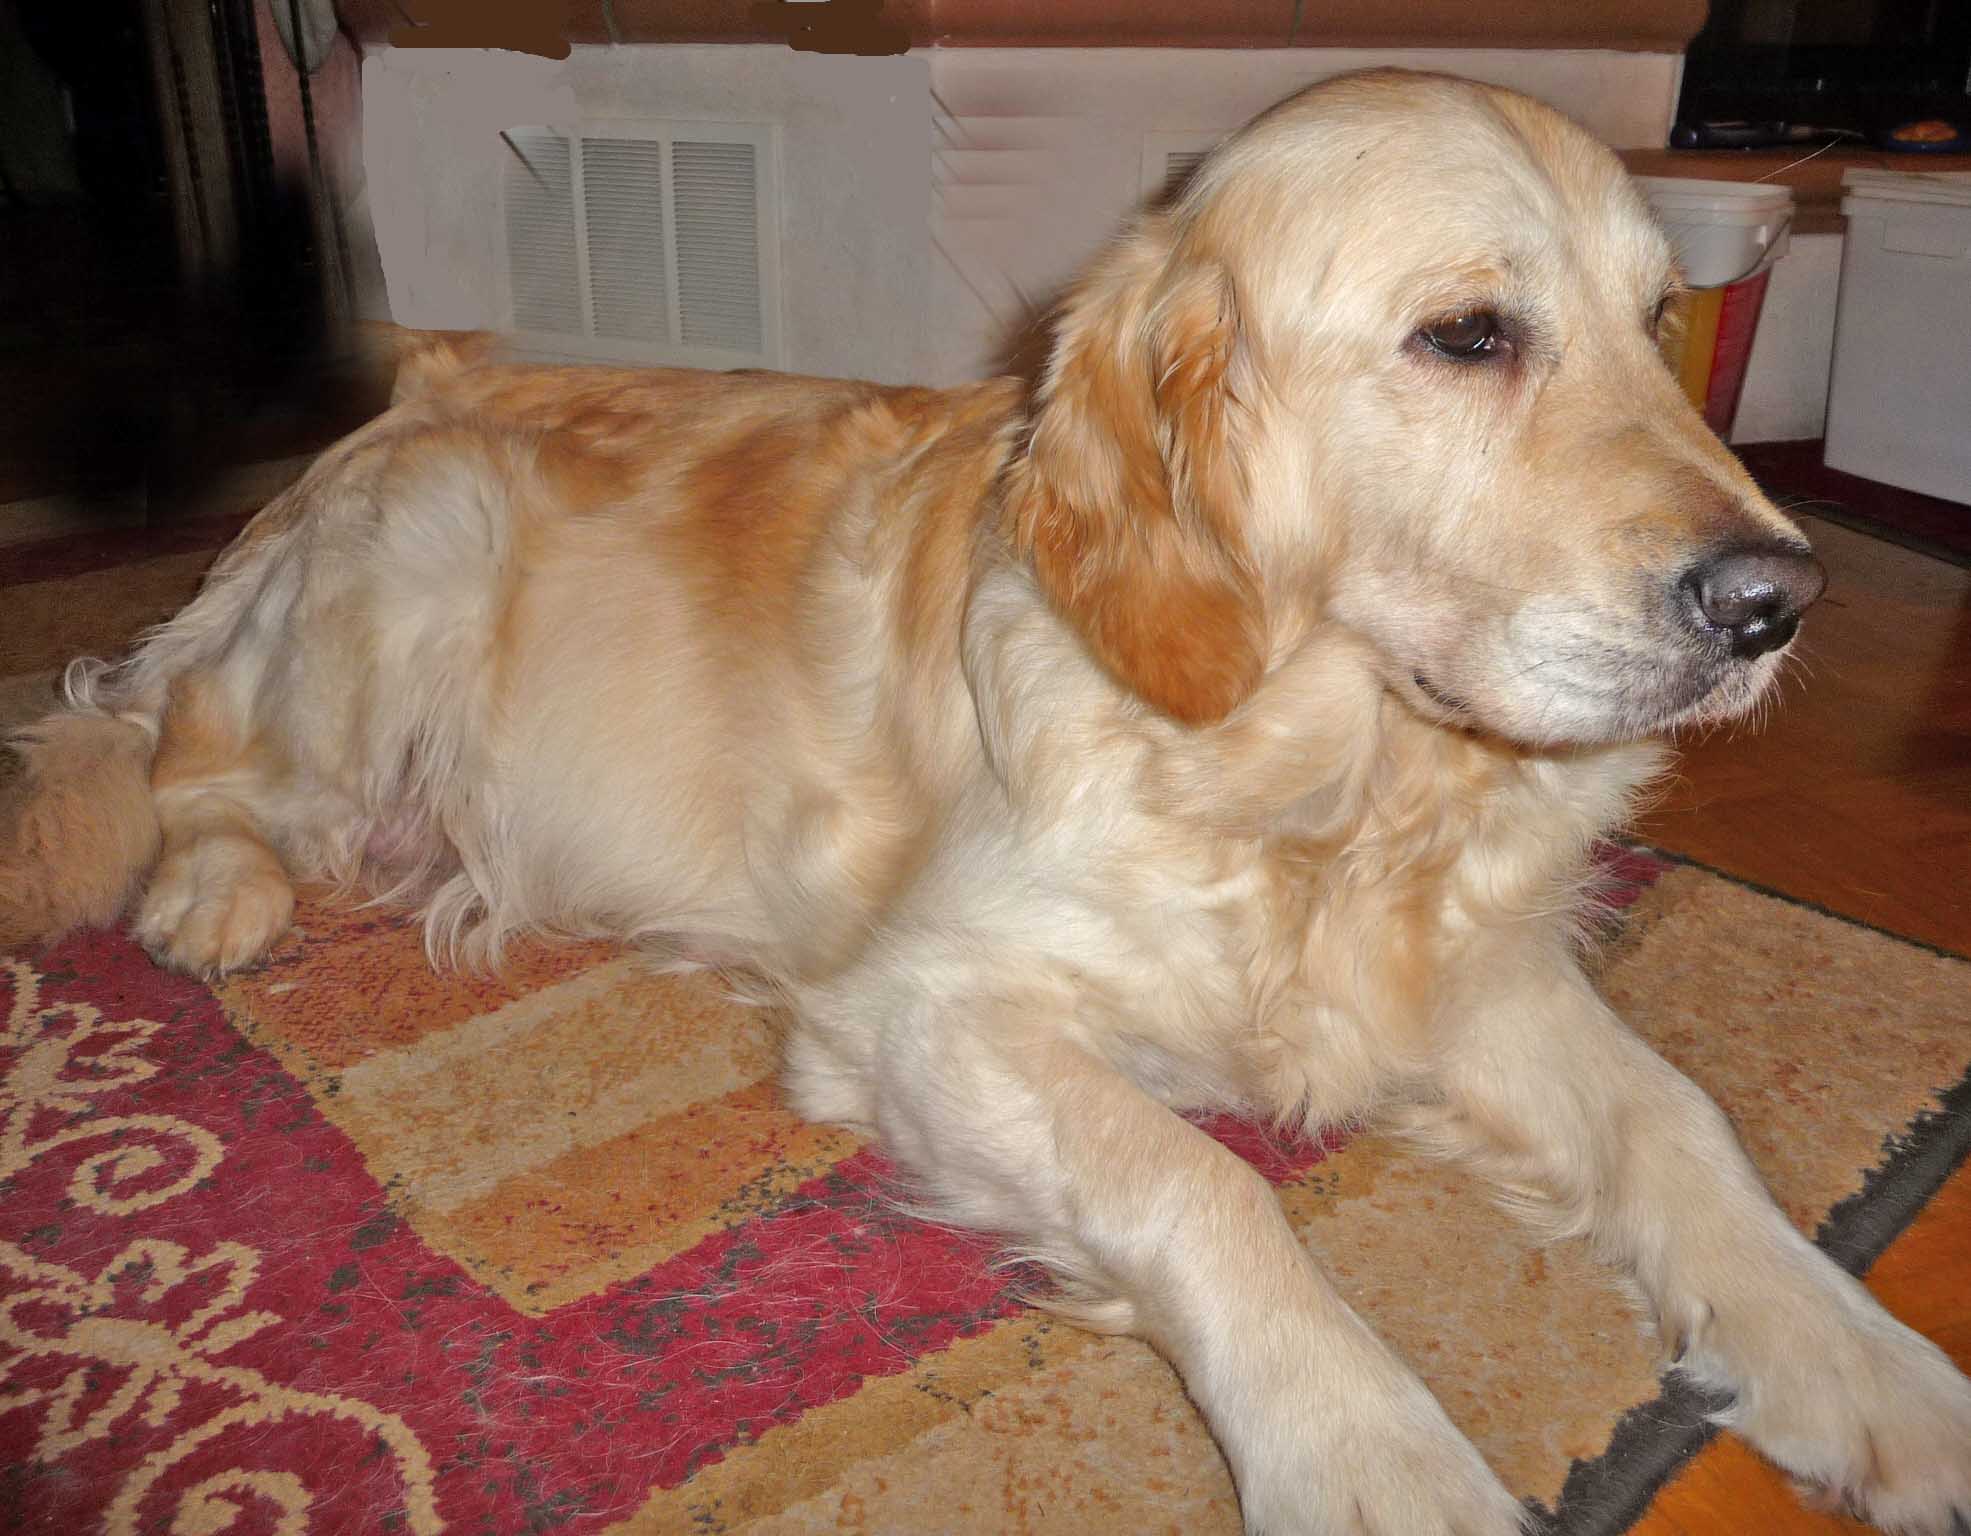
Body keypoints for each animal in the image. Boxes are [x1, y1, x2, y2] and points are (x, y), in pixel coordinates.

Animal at [4, 69, 1968, 1535]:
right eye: (1467, 335)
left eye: (1660, 322)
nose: (1777, 601)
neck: (1322, 790)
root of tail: (403, 395)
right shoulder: (926, 1014)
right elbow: (1205, 1185)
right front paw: (1370, 1453)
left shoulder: (1471, 971)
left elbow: (1679, 1128)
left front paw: (1866, 1369)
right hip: (415, 565)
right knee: (174, 748)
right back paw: (215, 889)